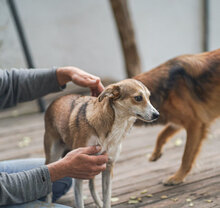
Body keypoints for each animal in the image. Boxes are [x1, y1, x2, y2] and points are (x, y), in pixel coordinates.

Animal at [43, 79, 159, 207]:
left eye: (149, 97)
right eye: (138, 98)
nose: (157, 115)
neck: (116, 127)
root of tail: (55, 100)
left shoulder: (108, 166)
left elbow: (107, 197)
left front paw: (104, 202)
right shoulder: (78, 170)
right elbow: (79, 202)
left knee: (91, 185)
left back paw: (99, 202)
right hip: (53, 155)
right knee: (49, 185)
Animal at [133, 48, 220, 185]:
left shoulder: (194, 124)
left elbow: (187, 155)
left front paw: (178, 177)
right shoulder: (178, 121)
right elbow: (161, 134)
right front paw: (156, 154)